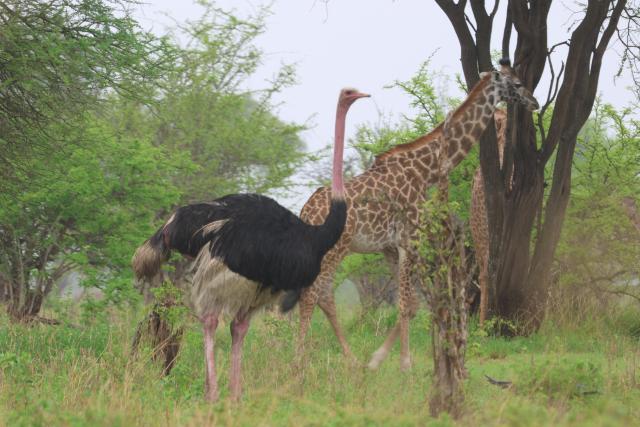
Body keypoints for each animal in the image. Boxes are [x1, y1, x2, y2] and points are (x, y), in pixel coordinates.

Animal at [298, 59, 539, 370]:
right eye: (517, 83)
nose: (534, 102)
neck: (426, 170)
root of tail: (305, 211)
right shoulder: (409, 239)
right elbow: (406, 304)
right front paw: (405, 364)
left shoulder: (391, 246)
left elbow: (411, 304)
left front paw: (377, 359)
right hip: (334, 249)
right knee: (312, 295)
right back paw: (298, 360)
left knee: (322, 296)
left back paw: (341, 358)